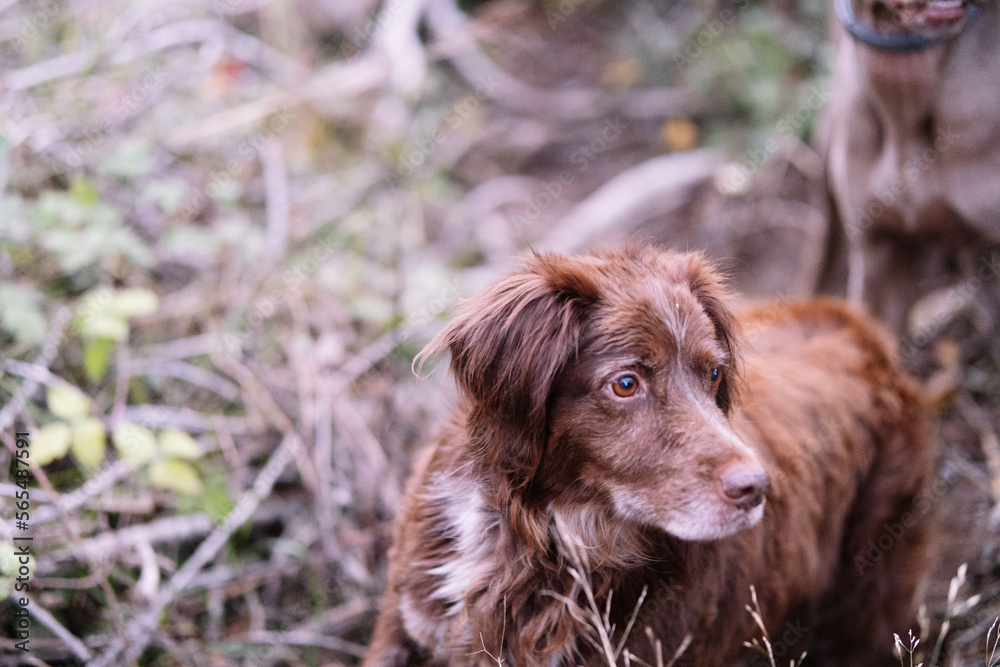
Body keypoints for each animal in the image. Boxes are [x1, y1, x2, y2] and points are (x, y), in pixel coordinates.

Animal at [368, 247, 936, 667]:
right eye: (626, 384)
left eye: (713, 374)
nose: (757, 488)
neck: (533, 538)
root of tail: (863, 331)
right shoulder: (404, 626)